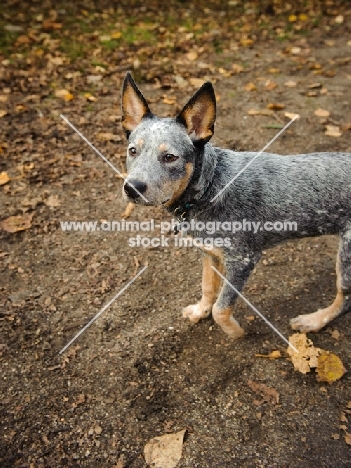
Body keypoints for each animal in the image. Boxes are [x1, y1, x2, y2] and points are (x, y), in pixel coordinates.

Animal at [120, 71, 351, 338]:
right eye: (132, 151)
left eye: (169, 157)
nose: (132, 187)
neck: (211, 187)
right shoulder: (210, 253)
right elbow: (208, 288)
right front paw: (200, 311)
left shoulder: (244, 259)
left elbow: (221, 308)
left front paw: (236, 333)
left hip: (346, 258)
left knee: (345, 299)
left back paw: (314, 320)